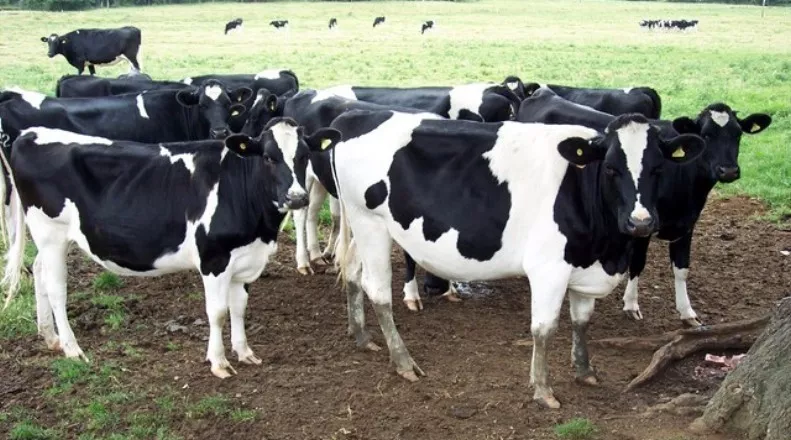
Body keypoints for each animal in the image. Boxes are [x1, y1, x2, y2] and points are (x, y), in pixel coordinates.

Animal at [0, 120, 342, 378]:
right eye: (269, 157)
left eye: (304, 156)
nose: (297, 198)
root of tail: (29, 133)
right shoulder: (214, 259)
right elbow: (217, 312)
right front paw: (219, 362)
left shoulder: (244, 259)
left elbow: (239, 308)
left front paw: (244, 352)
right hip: (50, 234)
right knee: (56, 289)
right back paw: (72, 348)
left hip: (49, 240)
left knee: (39, 273)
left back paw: (50, 337)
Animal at [316, 109, 704, 408]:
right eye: (610, 168)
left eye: (658, 169)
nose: (641, 223)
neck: (606, 249)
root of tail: (355, 116)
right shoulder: (549, 269)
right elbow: (544, 329)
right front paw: (543, 390)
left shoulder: (583, 266)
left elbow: (581, 322)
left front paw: (585, 372)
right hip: (371, 223)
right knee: (378, 290)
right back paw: (403, 361)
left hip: (360, 224)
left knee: (353, 272)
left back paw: (362, 336)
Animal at [517, 88, 773, 326]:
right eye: (707, 135)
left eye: (738, 134)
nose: (728, 170)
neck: (685, 183)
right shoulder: (640, 224)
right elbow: (638, 263)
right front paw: (631, 304)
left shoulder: (687, 224)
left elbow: (682, 268)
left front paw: (687, 312)